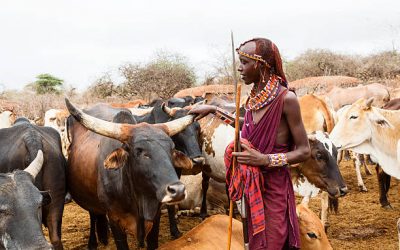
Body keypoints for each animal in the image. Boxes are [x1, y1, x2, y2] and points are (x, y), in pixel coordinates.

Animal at [65, 99, 195, 250]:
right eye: (139, 151)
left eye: (172, 148)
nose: (178, 190)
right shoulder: (115, 220)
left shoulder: (155, 217)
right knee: (93, 215)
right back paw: (93, 242)